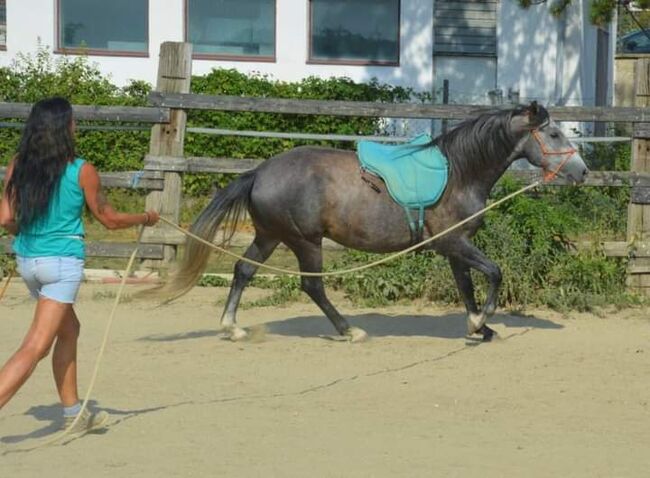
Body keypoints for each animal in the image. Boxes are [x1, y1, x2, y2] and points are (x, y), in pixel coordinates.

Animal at [157, 102, 588, 344]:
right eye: (553, 133)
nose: (582, 171)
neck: (460, 173)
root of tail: (259, 173)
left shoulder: (455, 247)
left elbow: (466, 287)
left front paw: (479, 328)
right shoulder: (452, 243)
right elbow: (495, 273)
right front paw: (482, 321)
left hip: (270, 236)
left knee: (243, 271)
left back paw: (232, 328)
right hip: (305, 241)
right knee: (312, 286)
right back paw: (350, 331)